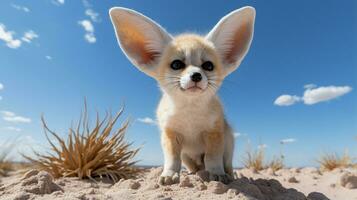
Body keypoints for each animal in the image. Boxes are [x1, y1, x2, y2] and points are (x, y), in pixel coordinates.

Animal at [110, 6, 254, 184]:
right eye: (176, 64)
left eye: (208, 66)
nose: (196, 76)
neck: (190, 115)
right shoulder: (170, 134)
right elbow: (172, 159)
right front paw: (169, 174)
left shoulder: (214, 133)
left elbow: (213, 158)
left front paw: (217, 174)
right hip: (187, 156)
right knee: (195, 167)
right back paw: (194, 174)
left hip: (228, 141)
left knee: (225, 164)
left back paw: (227, 174)